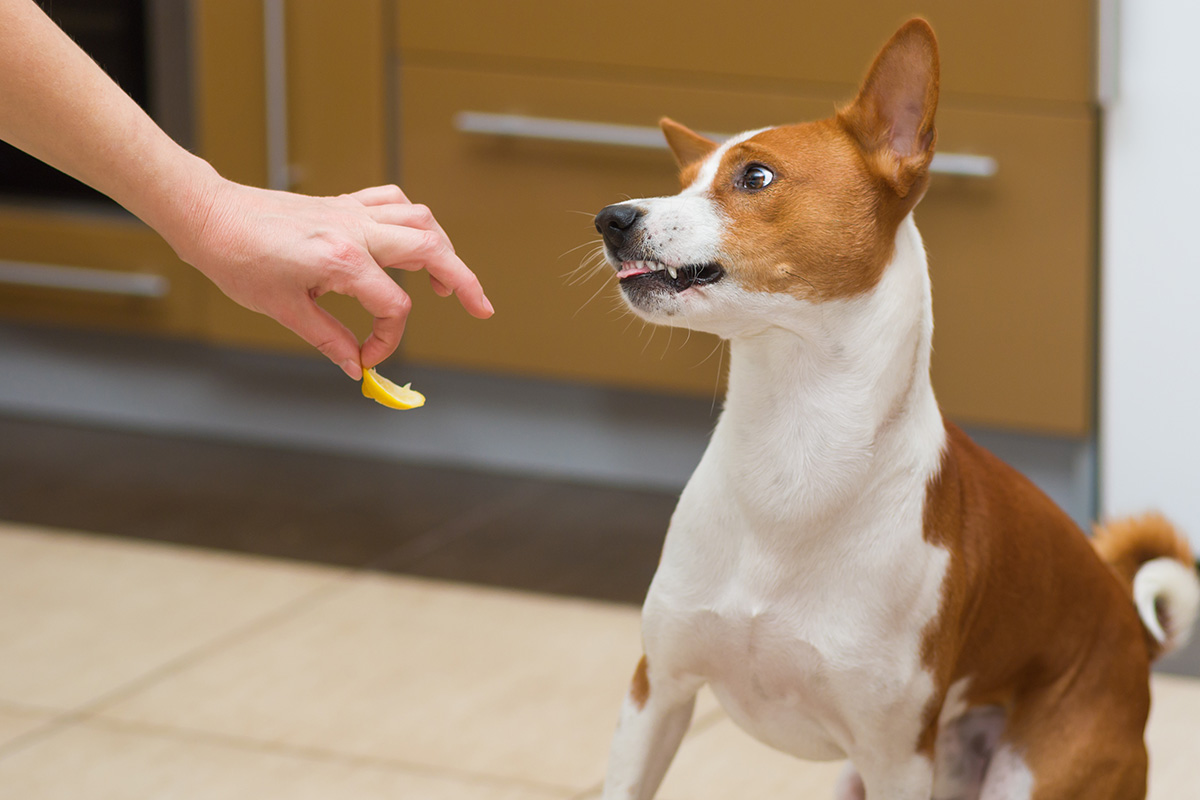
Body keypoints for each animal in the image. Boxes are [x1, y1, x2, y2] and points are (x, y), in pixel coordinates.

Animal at [592, 18, 1200, 800]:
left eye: (755, 176)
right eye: (683, 182)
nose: (611, 218)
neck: (793, 448)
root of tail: (1130, 630)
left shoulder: (896, 755)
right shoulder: (658, 693)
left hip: (1030, 773)